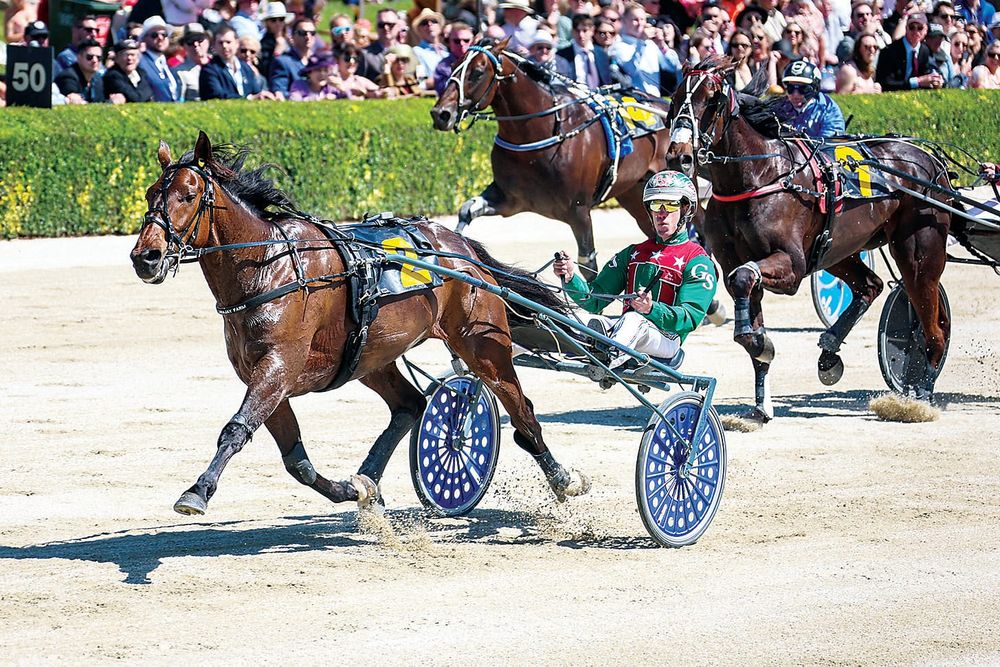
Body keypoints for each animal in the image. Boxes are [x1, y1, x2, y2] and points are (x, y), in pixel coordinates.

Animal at [129, 131, 590, 515]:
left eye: (188, 195)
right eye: (151, 194)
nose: (145, 257)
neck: (267, 267)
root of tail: (460, 248)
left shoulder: (278, 367)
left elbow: (236, 429)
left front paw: (196, 492)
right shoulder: (263, 375)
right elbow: (296, 462)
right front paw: (353, 490)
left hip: (482, 344)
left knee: (522, 411)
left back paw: (564, 479)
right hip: (372, 355)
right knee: (410, 405)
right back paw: (369, 478)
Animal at [429, 38, 673, 275]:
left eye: (478, 72)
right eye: (452, 65)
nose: (441, 114)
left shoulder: (579, 211)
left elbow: (588, 264)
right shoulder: (511, 199)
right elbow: (467, 210)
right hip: (633, 191)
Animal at [664, 56, 953, 421]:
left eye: (712, 100)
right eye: (675, 98)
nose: (679, 156)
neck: (759, 176)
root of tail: (930, 160)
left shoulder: (791, 266)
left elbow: (745, 279)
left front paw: (760, 344)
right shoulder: (734, 260)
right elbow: (743, 296)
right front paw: (761, 403)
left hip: (919, 251)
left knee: (934, 327)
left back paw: (920, 396)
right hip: (838, 248)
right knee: (870, 285)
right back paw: (830, 352)